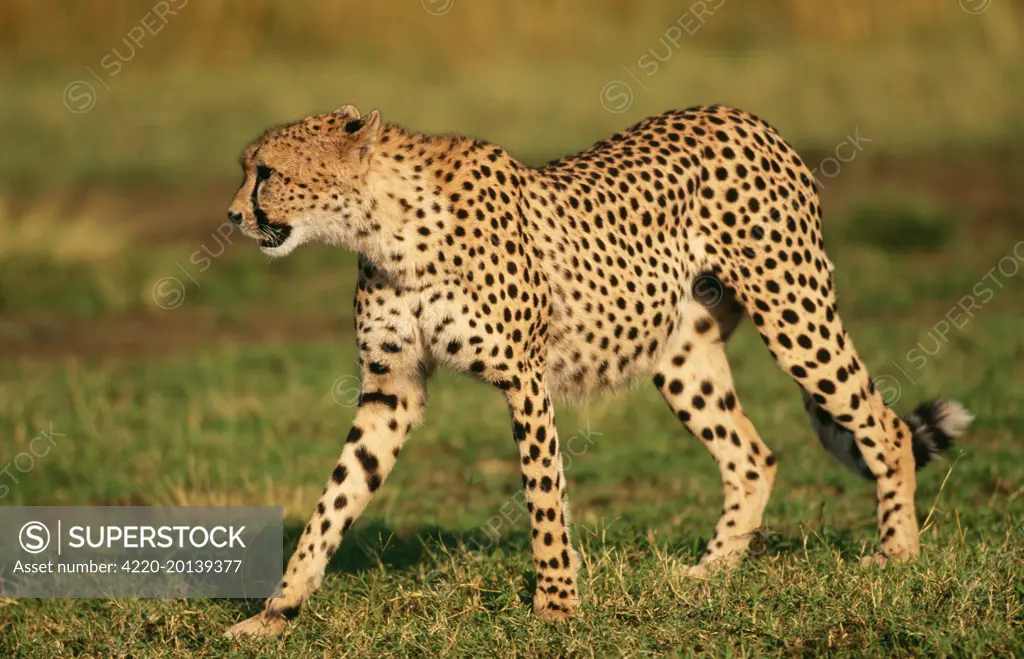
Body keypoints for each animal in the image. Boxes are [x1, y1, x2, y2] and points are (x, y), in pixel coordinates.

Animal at [220, 104, 970, 638]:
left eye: (266, 173)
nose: (231, 217)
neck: (384, 224)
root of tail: (744, 116)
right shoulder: (390, 390)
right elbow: (336, 498)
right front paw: (276, 611)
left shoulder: (524, 381)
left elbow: (543, 497)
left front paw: (556, 606)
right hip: (682, 353)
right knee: (752, 454)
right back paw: (707, 573)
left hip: (793, 311)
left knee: (881, 424)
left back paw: (897, 553)